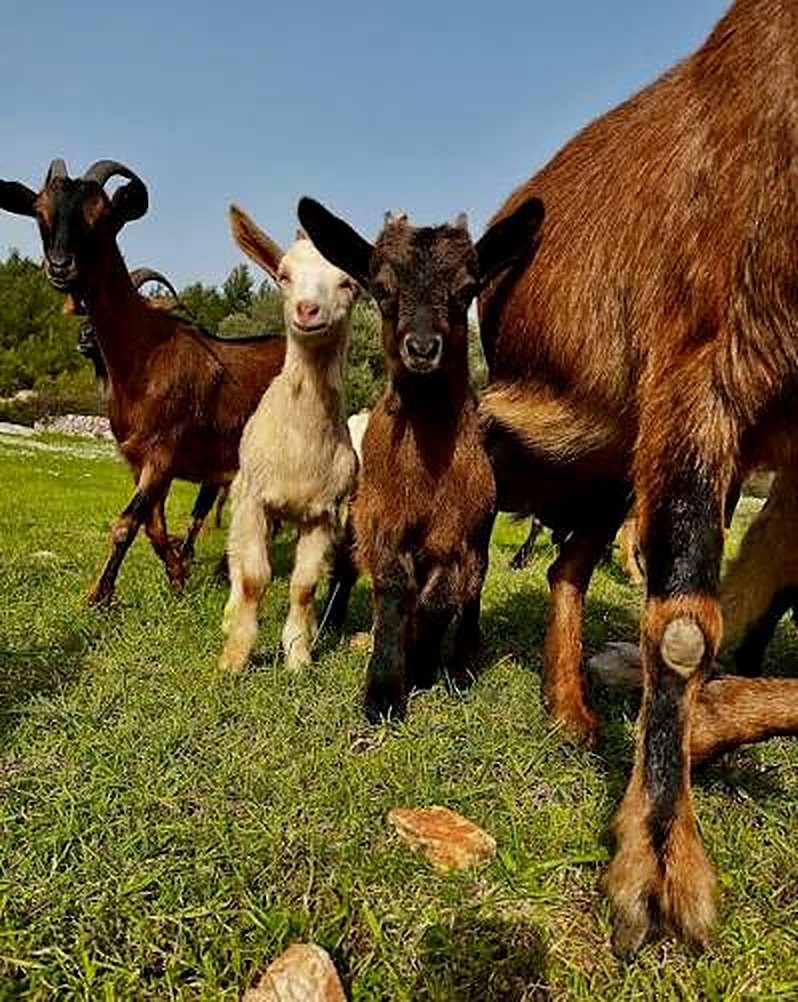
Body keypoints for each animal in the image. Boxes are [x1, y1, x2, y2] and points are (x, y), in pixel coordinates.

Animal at [0, 159, 286, 604]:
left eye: (102, 217)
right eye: (40, 212)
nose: (61, 266)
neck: (144, 357)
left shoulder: (163, 452)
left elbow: (125, 524)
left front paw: (98, 596)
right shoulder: (138, 460)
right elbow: (153, 526)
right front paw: (177, 575)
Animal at [218, 206, 360, 672]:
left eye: (349, 282)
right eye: (283, 275)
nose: (307, 309)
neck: (300, 450)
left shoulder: (323, 513)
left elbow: (303, 584)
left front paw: (298, 654)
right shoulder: (254, 500)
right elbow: (253, 577)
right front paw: (235, 657)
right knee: (235, 556)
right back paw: (229, 617)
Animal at [298, 196, 543, 722]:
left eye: (468, 289)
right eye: (382, 287)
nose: (423, 348)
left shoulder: (460, 533)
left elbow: (439, 598)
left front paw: (425, 667)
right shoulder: (382, 520)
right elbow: (394, 592)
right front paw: (383, 692)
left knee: (471, 594)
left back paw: (461, 664)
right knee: (346, 567)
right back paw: (332, 623)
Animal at [478, 0, 798, 953]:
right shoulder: (706, 355)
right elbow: (686, 623)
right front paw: (657, 864)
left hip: (617, 463)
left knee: (566, 563)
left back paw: (570, 710)